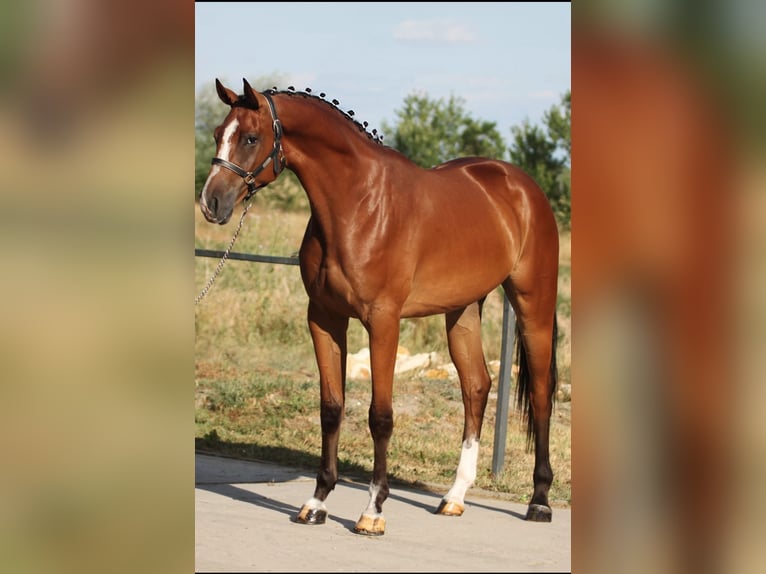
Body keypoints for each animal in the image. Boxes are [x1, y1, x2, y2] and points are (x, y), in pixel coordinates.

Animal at [198, 79, 560, 536]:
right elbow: (332, 409)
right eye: (216, 133)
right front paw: (316, 502)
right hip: (463, 310)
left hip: (533, 302)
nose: (211, 202)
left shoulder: (384, 322)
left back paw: (540, 500)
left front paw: (372, 511)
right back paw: (454, 497)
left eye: (249, 137)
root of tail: (522, 187)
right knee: (476, 386)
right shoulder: (324, 319)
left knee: (542, 394)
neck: (358, 206)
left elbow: (380, 416)